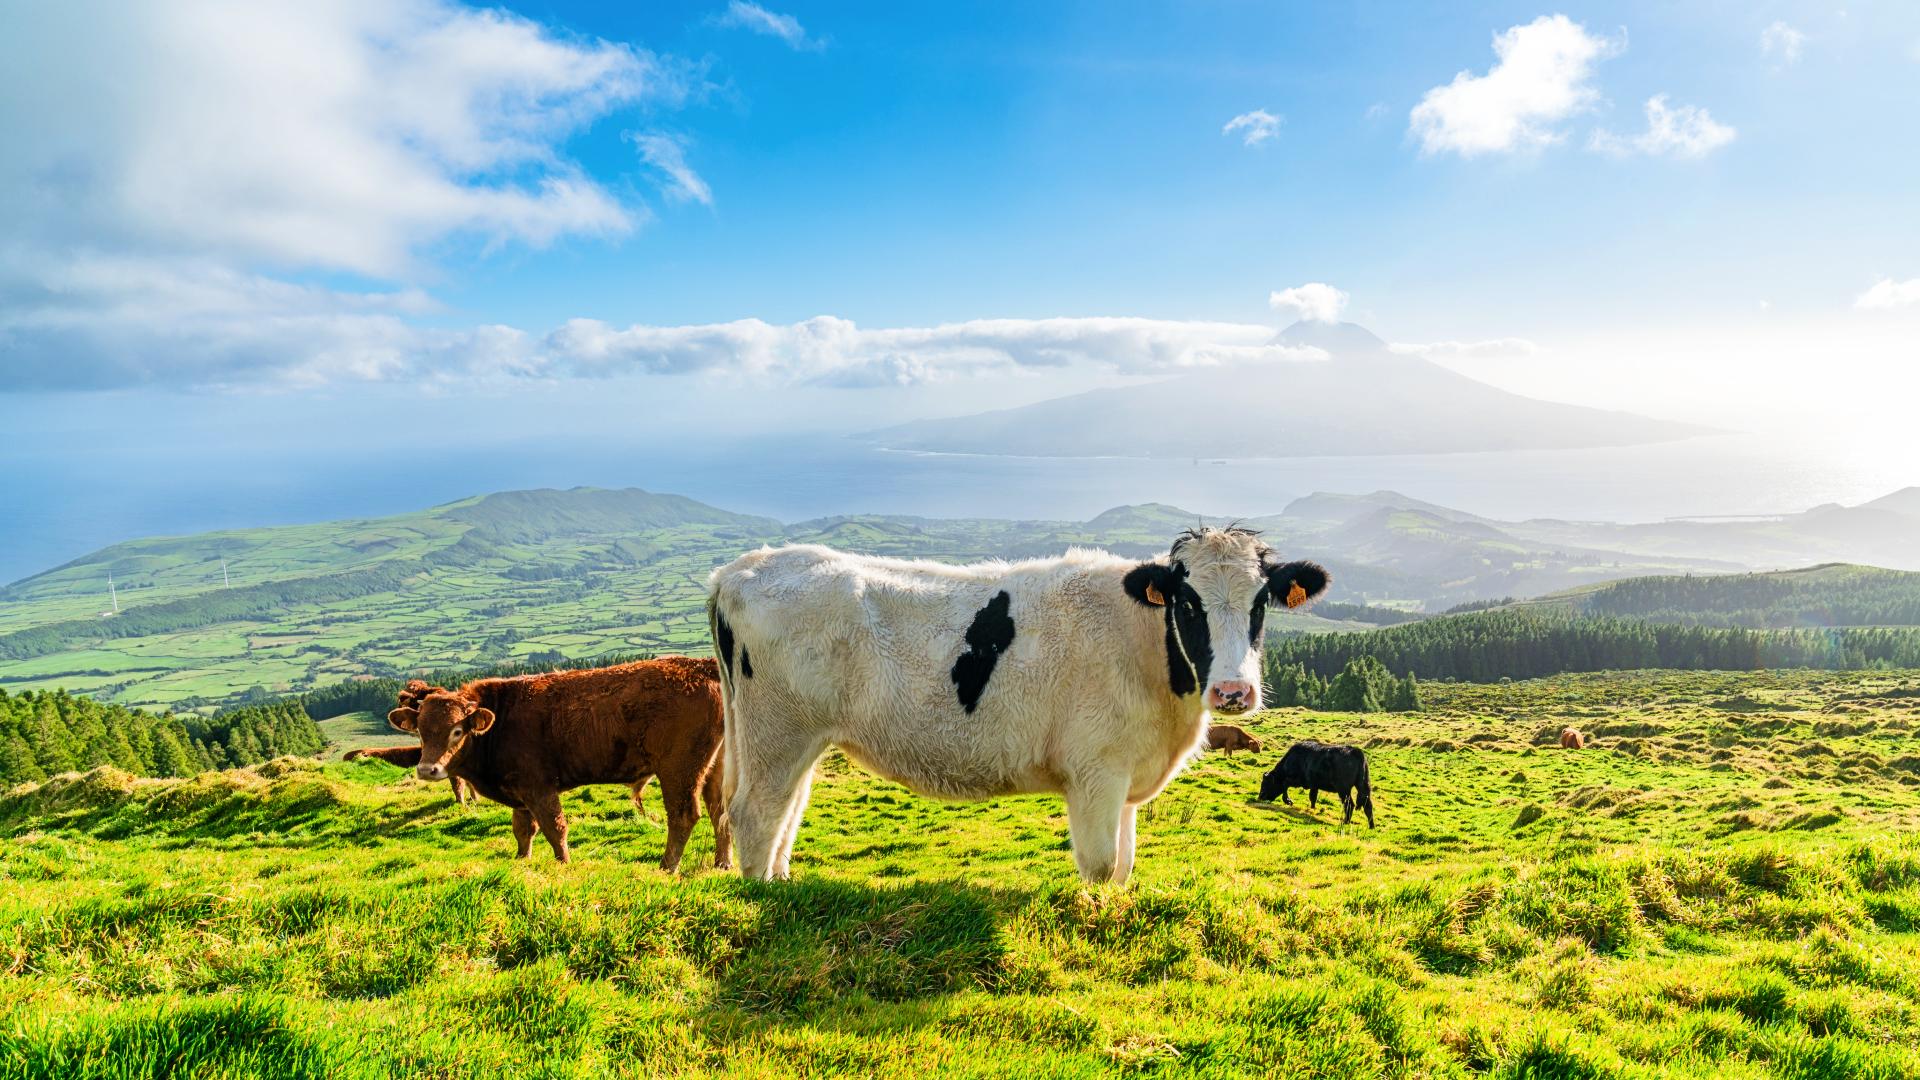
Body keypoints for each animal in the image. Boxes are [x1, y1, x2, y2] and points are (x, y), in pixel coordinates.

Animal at [384, 656, 730, 870]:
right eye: (420, 730)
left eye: (457, 730)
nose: (427, 769)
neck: (500, 719)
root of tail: (702, 666)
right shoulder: (520, 794)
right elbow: (523, 830)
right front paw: (521, 860)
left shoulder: (539, 788)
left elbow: (554, 828)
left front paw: (563, 863)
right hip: (717, 768)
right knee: (720, 811)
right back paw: (722, 863)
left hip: (679, 770)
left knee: (684, 815)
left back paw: (667, 867)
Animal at [708, 526, 1329, 883]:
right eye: (1188, 604)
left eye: (1261, 603)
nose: (1233, 692)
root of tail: (742, 567)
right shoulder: (1096, 770)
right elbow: (1101, 866)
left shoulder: (1127, 770)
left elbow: (1125, 865)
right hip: (776, 731)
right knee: (756, 813)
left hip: (798, 739)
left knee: (786, 812)